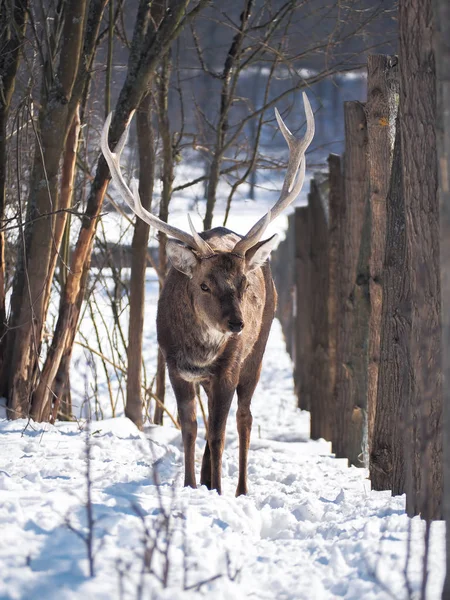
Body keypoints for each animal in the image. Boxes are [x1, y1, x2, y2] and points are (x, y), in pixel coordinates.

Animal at [100, 92, 314, 496]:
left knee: (244, 418)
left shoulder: (227, 369)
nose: (237, 324)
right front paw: (190, 485)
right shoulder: (174, 366)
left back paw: (240, 488)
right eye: (203, 284)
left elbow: (217, 433)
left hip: (257, 352)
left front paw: (217, 491)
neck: (200, 352)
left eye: (244, 283)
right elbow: (190, 428)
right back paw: (205, 477)